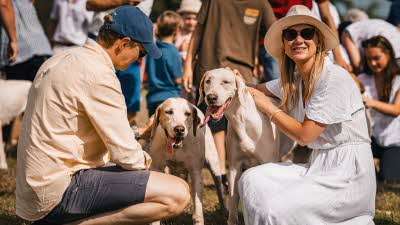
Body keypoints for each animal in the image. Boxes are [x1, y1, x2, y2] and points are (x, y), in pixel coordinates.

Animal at [198, 68, 282, 225]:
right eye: (208, 81)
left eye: (226, 82)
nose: (211, 97)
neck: (241, 119)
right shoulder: (234, 167)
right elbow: (232, 200)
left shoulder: (268, 162)